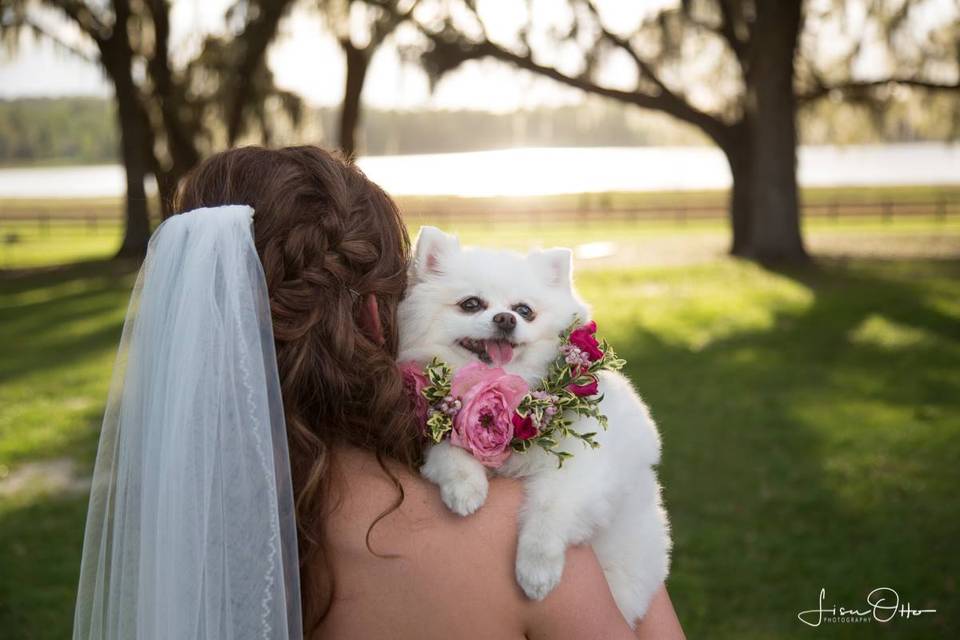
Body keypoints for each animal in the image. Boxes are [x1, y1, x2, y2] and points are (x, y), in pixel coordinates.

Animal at [396, 226, 668, 624]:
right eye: (471, 304)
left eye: (524, 310)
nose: (506, 319)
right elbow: (450, 448)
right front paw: (465, 487)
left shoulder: (583, 470)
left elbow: (548, 511)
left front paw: (537, 571)